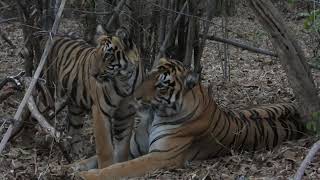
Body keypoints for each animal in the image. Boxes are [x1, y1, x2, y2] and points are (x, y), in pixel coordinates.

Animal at [44, 25, 144, 169]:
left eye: (108, 55)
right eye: (96, 54)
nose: (92, 74)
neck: (124, 80)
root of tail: (54, 35)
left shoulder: (126, 113)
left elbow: (123, 145)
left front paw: (122, 164)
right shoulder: (101, 111)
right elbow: (105, 147)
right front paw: (106, 168)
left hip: (76, 106)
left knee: (73, 130)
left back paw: (77, 155)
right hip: (49, 90)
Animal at [79, 57, 304, 179]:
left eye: (161, 85)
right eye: (149, 75)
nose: (135, 97)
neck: (153, 117)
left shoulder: (161, 156)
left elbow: (119, 168)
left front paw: (87, 176)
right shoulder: (135, 147)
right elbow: (90, 159)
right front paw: (75, 167)